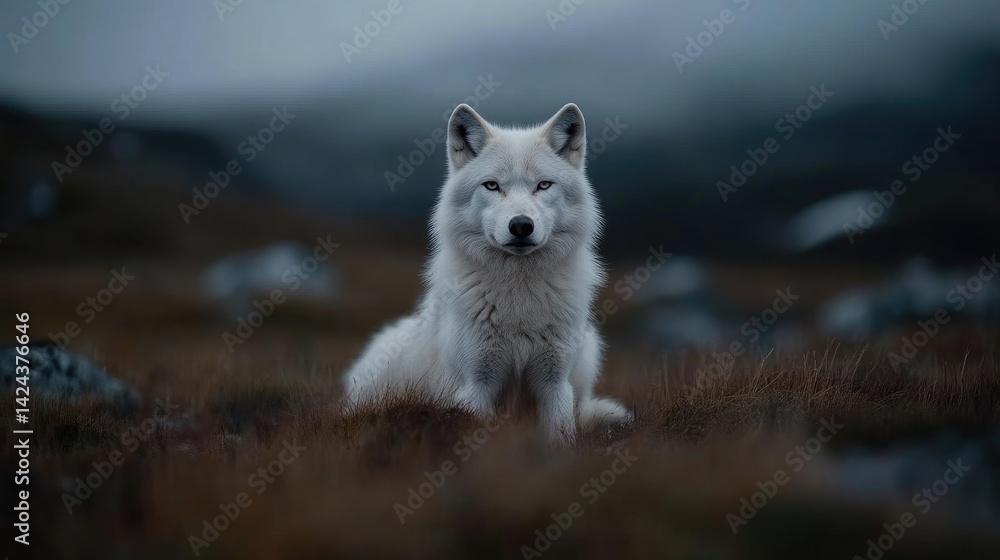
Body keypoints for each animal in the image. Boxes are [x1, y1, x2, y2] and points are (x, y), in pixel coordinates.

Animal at [343, 103, 631, 444]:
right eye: (492, 185)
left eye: (543, 185)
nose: (521, 225)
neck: (520, 295)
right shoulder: (477, 385)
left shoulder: (554, 383)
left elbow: (559, 438)